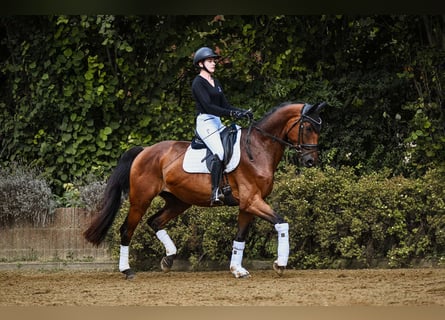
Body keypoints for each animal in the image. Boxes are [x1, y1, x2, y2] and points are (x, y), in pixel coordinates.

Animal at [84, 101, 326, 278]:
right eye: (308, 127)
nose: (310, 161)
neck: (258, 148)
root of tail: (145, 150)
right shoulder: (252, 201)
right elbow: (282, 222)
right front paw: (280, 264)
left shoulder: (247, 205)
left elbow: (240, 236)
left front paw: (237, 269)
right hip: (140, 200)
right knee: (127, 230)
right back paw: (127, 270)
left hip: (179, 201)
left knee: (155, 221)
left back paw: (168, 259)